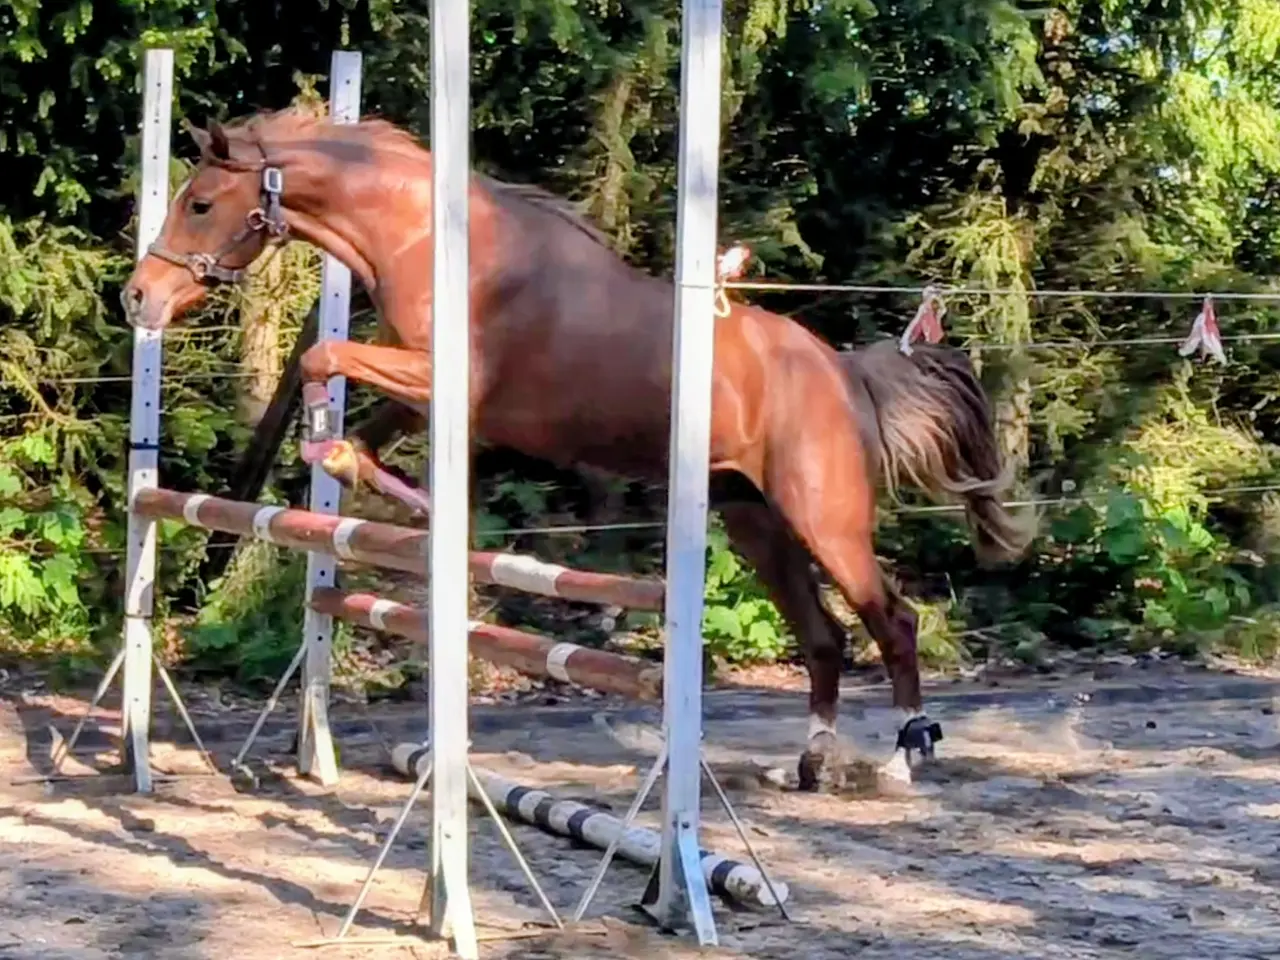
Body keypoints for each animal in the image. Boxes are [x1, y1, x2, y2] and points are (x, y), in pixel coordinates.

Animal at [119, 109, 1034, 789]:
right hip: (755, 521)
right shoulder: (425, 395)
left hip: (824, 518)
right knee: (824, 637)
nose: (139, 296)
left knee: (893, 620)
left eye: (200, 203)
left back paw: (905, 755)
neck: (429, 241)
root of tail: (842, 373)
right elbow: (361, 419)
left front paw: (333, 447)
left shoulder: (447, 383)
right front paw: (352, 468)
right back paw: (806, 764)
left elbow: (323, 360)